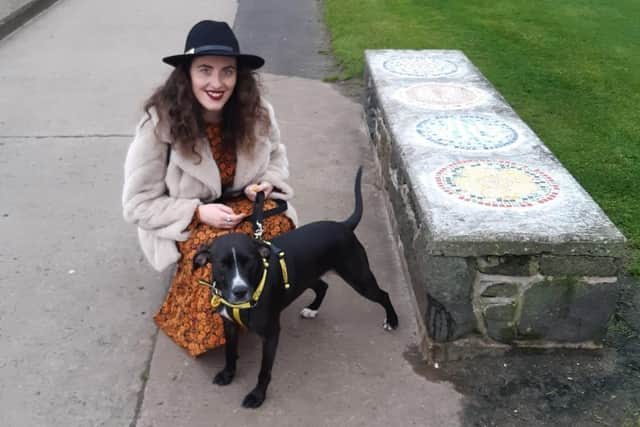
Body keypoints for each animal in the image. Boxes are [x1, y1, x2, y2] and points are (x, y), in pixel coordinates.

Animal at [192, 167, 398, 408]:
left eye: (249, 262)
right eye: (222, 264)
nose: (239, 291)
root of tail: (344, 225)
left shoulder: (271, 334)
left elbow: (264, 371)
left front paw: (257, 396)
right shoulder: (229, 325)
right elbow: (230, 353)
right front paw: (227, 374)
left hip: (359, 278)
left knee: (383, 294)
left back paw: (392, 320)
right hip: (307, 275)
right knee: (323, 286)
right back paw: (313, 309)